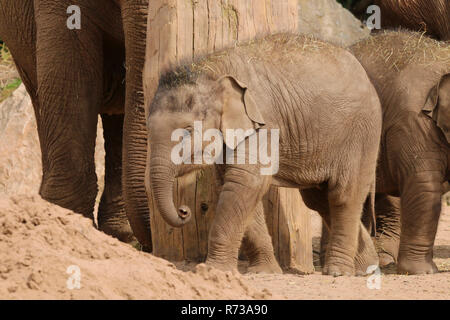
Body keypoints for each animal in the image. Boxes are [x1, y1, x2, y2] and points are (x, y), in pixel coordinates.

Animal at [148, 34, 384, 276]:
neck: (213, 69)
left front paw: (213, 270)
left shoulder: (264, 120)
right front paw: (263, 271)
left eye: (187, 130)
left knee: (344, 195)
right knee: (319, 200)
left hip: (362, 134)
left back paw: (338, 272)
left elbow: (246, 181)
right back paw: (367, 269)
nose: (184, 211)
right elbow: (237, 184)